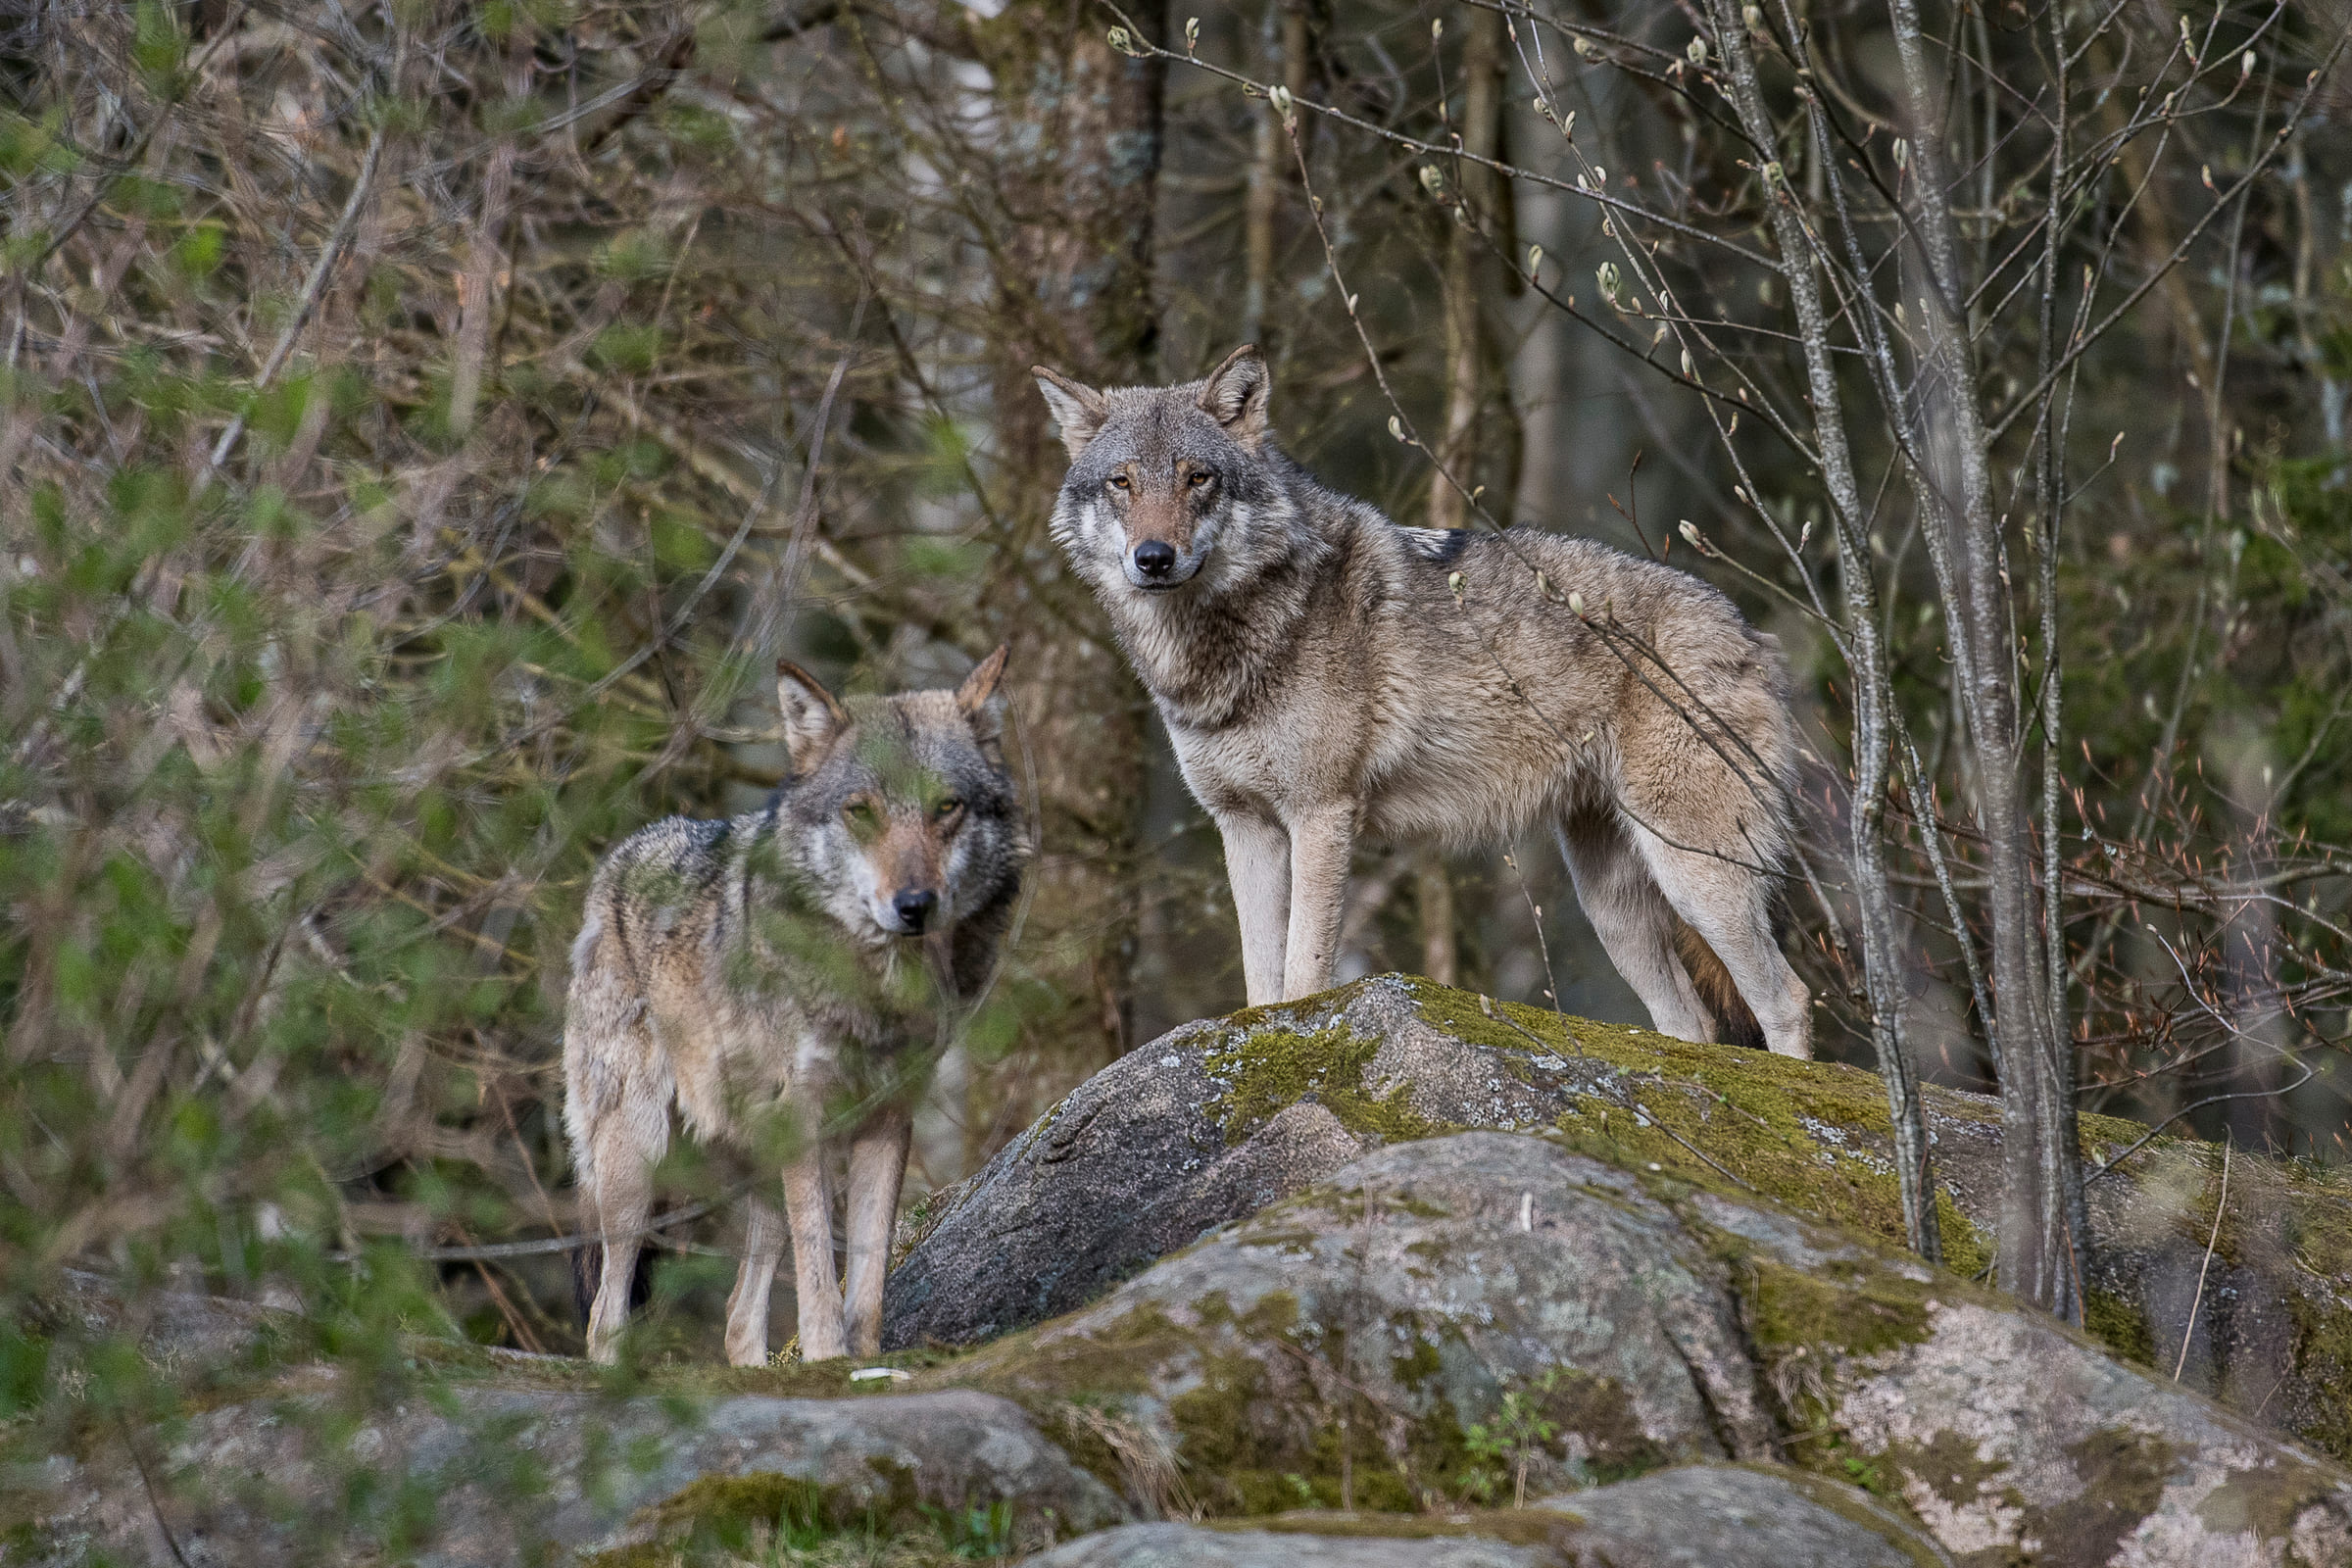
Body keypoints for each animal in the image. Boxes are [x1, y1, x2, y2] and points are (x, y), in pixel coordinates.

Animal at [563, 648, 1027, 1365]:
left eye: (946, 807)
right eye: (861, 812)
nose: (914, 905)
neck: (878, 991)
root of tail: (621, 855)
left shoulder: (889, 1118)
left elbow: (866, 1278)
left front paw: (861, 1365)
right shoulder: (806, 1116)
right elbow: (817, 1279)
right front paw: (829, 1361)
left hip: (754, 1159)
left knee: (736, 1315)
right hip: (637, 1157)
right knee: (605, 1313)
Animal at [1032, 346, 1811, 1058]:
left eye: (1198, 478)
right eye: (1121, 483)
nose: (1153, 558)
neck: (1225, 648)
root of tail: (1752, 633)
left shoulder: (1321, 814)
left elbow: (1302, 974)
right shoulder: (1245, 827)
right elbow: (1260, 982)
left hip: (1695, 873)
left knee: (1789, 999)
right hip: (1613, 904)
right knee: (1693, 1025)